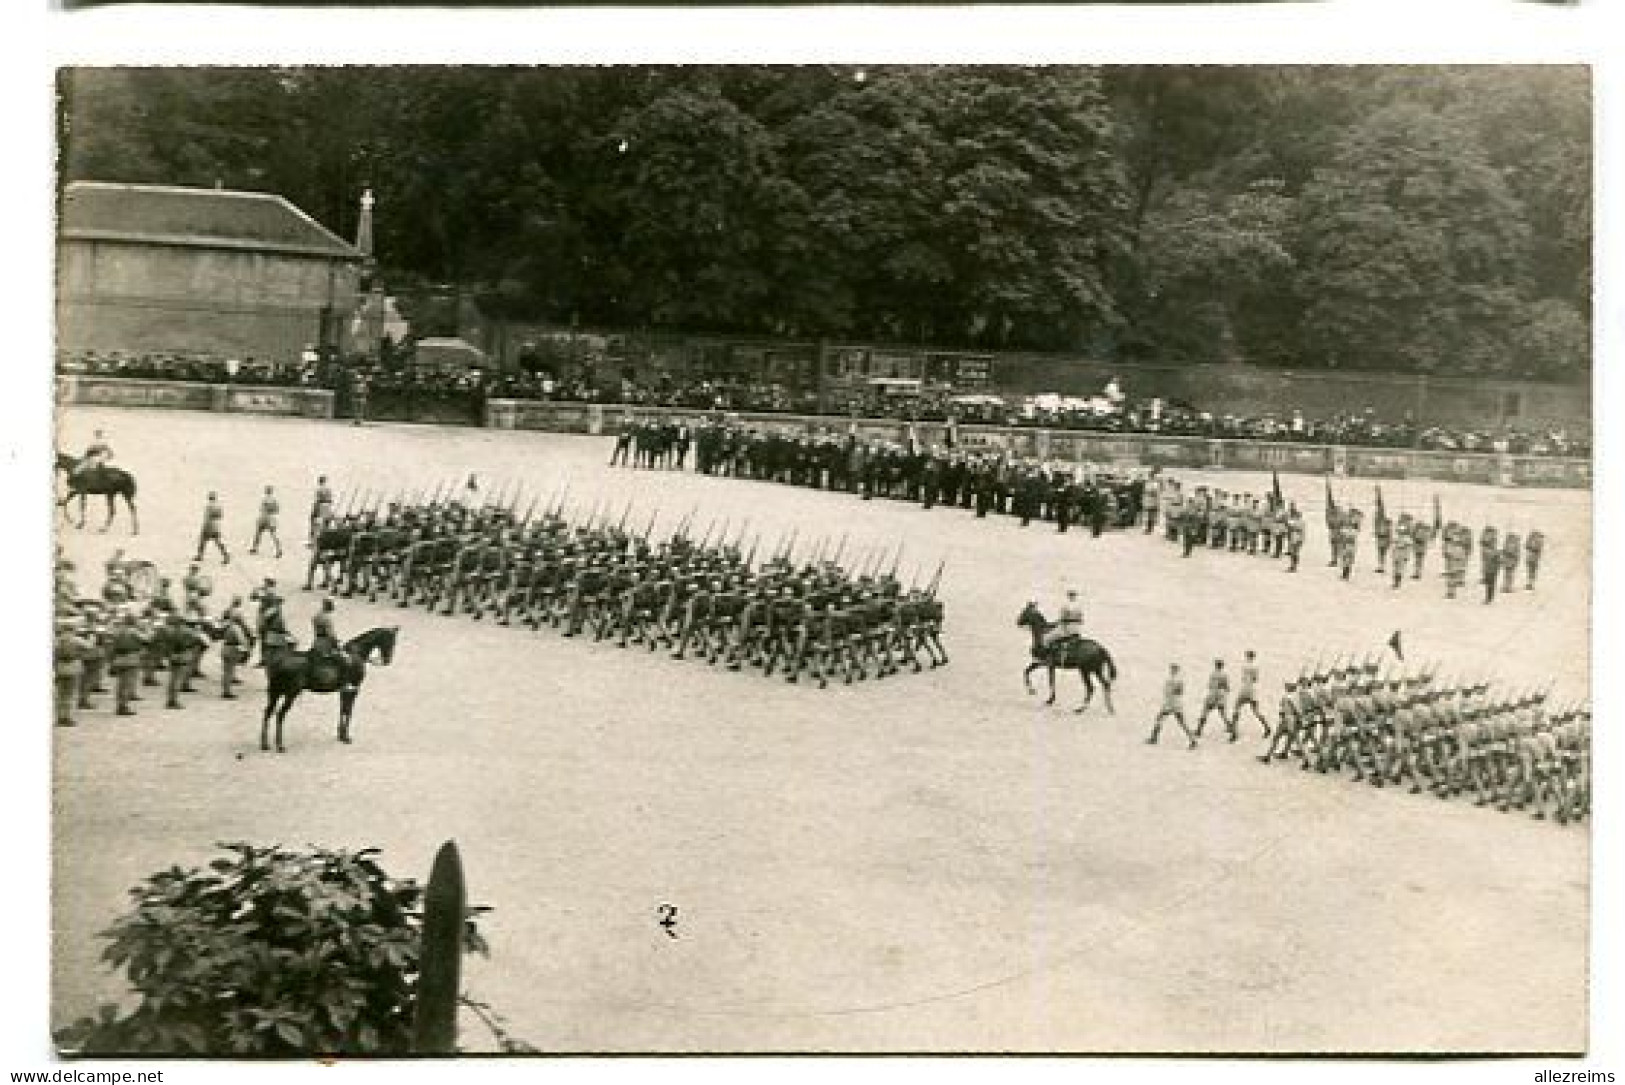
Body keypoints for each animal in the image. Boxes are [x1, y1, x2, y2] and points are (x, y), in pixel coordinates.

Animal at [263, 626, 399, 753]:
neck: (356, 654)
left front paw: (340, 735)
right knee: (280, 715)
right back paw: (280, 746)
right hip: (291, 694)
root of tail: (280, 661)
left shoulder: (344, 691)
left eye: (394, 642)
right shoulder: (354, 690)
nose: (387, 661)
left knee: (267, 712)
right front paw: (346, 737)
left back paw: (264, 745)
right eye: (390, 640)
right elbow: (348, 711)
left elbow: (342, 710)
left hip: (275, 693)